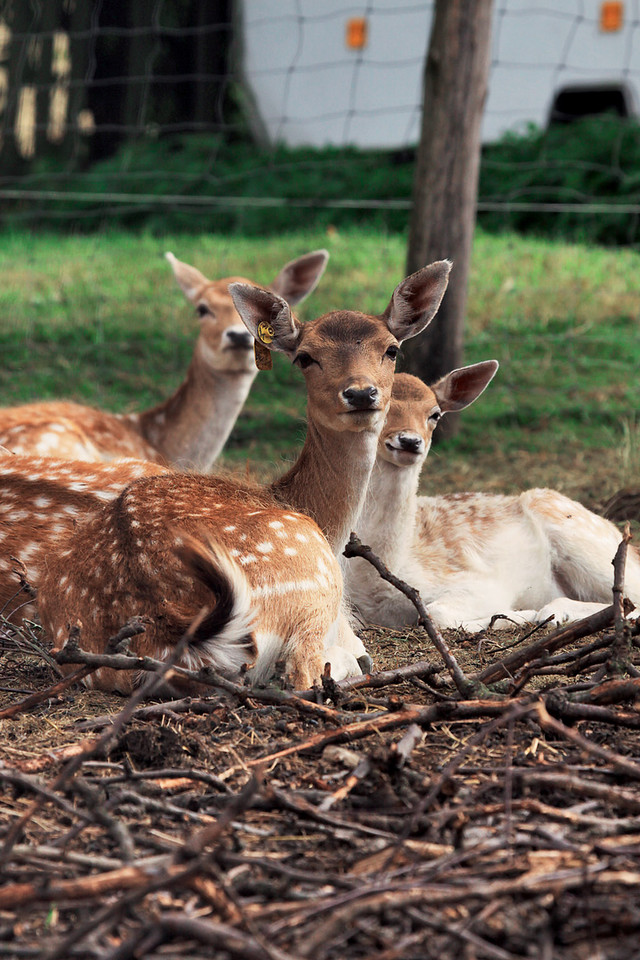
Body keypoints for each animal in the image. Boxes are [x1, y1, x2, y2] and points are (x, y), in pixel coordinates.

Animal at [348, 368, 640, 632]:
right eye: (381, 409)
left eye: (435, 414)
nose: (410, 441)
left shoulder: (480, 583)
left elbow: (435, 614)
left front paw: (517, 615)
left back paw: (553, 612)